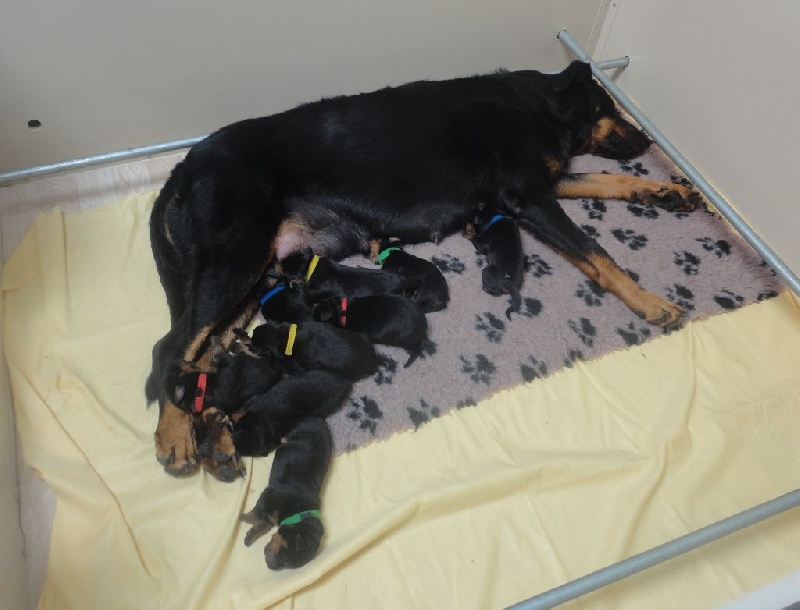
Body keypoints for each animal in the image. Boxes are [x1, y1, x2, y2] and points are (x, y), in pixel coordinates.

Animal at [249, 319, 379, 380]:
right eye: (261, 326)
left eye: (258, 347)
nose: (253, 331)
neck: (286, 337)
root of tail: (374, 360)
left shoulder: (299, 366)